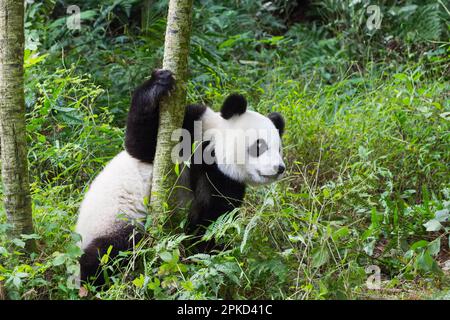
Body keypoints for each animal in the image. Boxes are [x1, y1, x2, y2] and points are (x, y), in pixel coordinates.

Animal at [74, 69, 284, 284]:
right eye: (259, 146)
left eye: (278, 149)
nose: (279, 168)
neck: (213, 151)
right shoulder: (192, 124)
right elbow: (141, 146)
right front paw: (158, 82)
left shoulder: (225, 181)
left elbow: (212, 220)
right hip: (115, 219)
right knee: (109, 252)